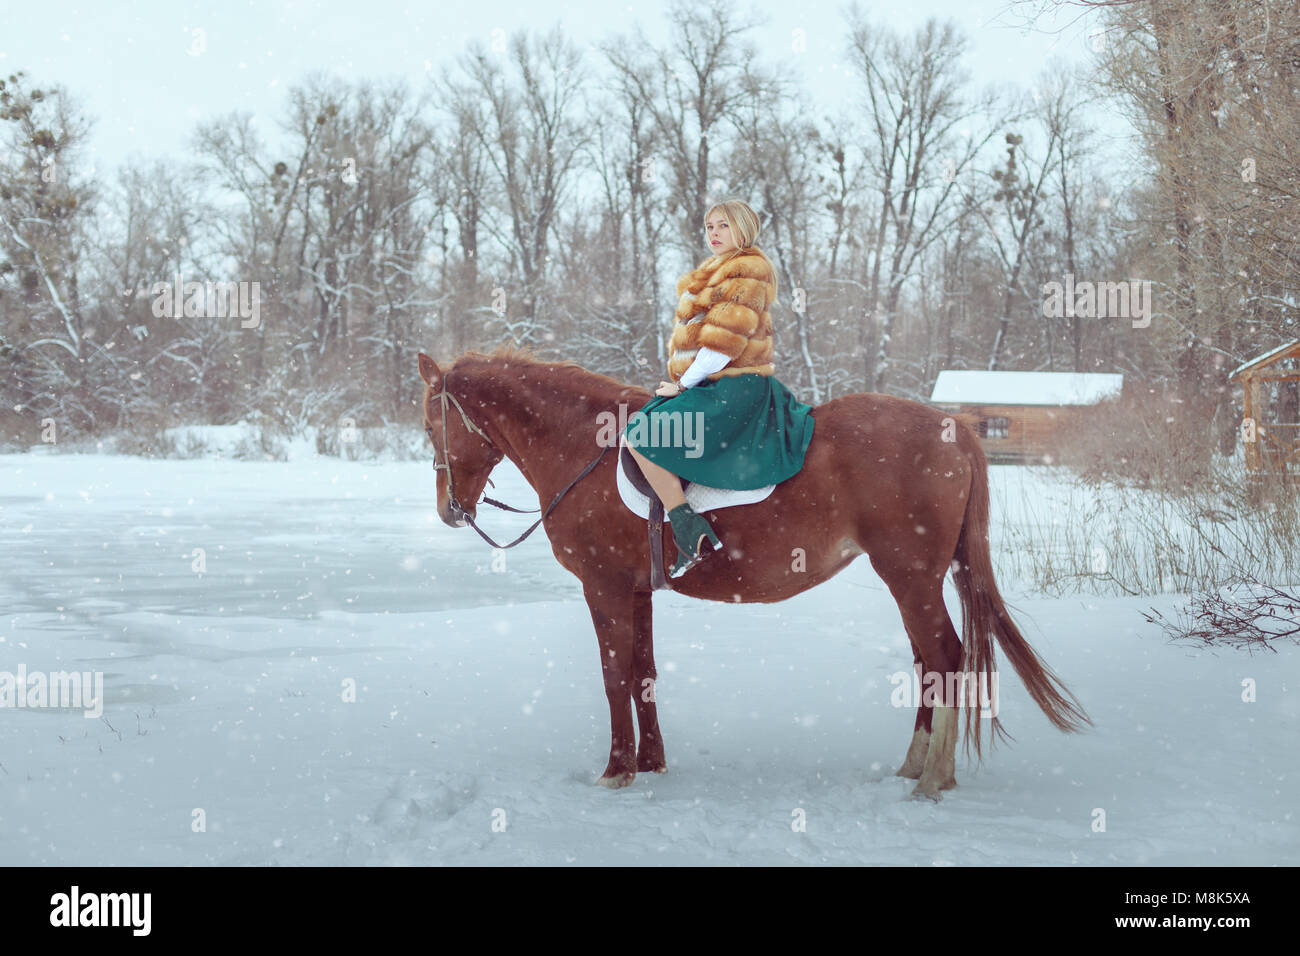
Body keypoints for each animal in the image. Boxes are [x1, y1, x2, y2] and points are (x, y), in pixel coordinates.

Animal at [416, 348, 1086, 796]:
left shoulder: (603, 587)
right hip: (912, 582)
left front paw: (616, 771)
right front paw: (652, 764)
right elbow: (643, 674)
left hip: (911, 577)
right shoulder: (637, 591)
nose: (450, 510)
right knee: (927, 663)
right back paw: (915, 767)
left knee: (944, 658)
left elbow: (613, 676)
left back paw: (932, 780)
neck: (585, 445)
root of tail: (958, 432)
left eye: (429, 424)